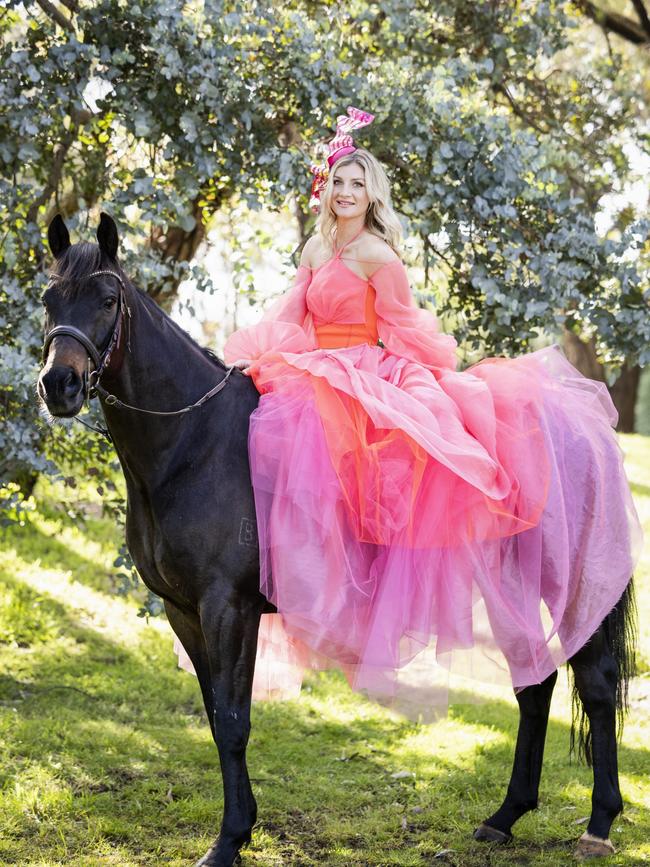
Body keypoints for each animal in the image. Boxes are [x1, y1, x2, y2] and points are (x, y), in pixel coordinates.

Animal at [38, 214, 636, 864]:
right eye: (48, 300)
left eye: (108, 300)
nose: (59, 385)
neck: (194, 443)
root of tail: (583, 420)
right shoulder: (183, 610)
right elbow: (217, 715)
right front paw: (240, 829)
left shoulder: (229, 608)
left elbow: (233, 720)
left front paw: (229, 839)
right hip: (507, 582)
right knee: (534, 682)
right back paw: (504, 817)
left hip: (569, 583)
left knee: (596, 685)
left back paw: (598, 825)